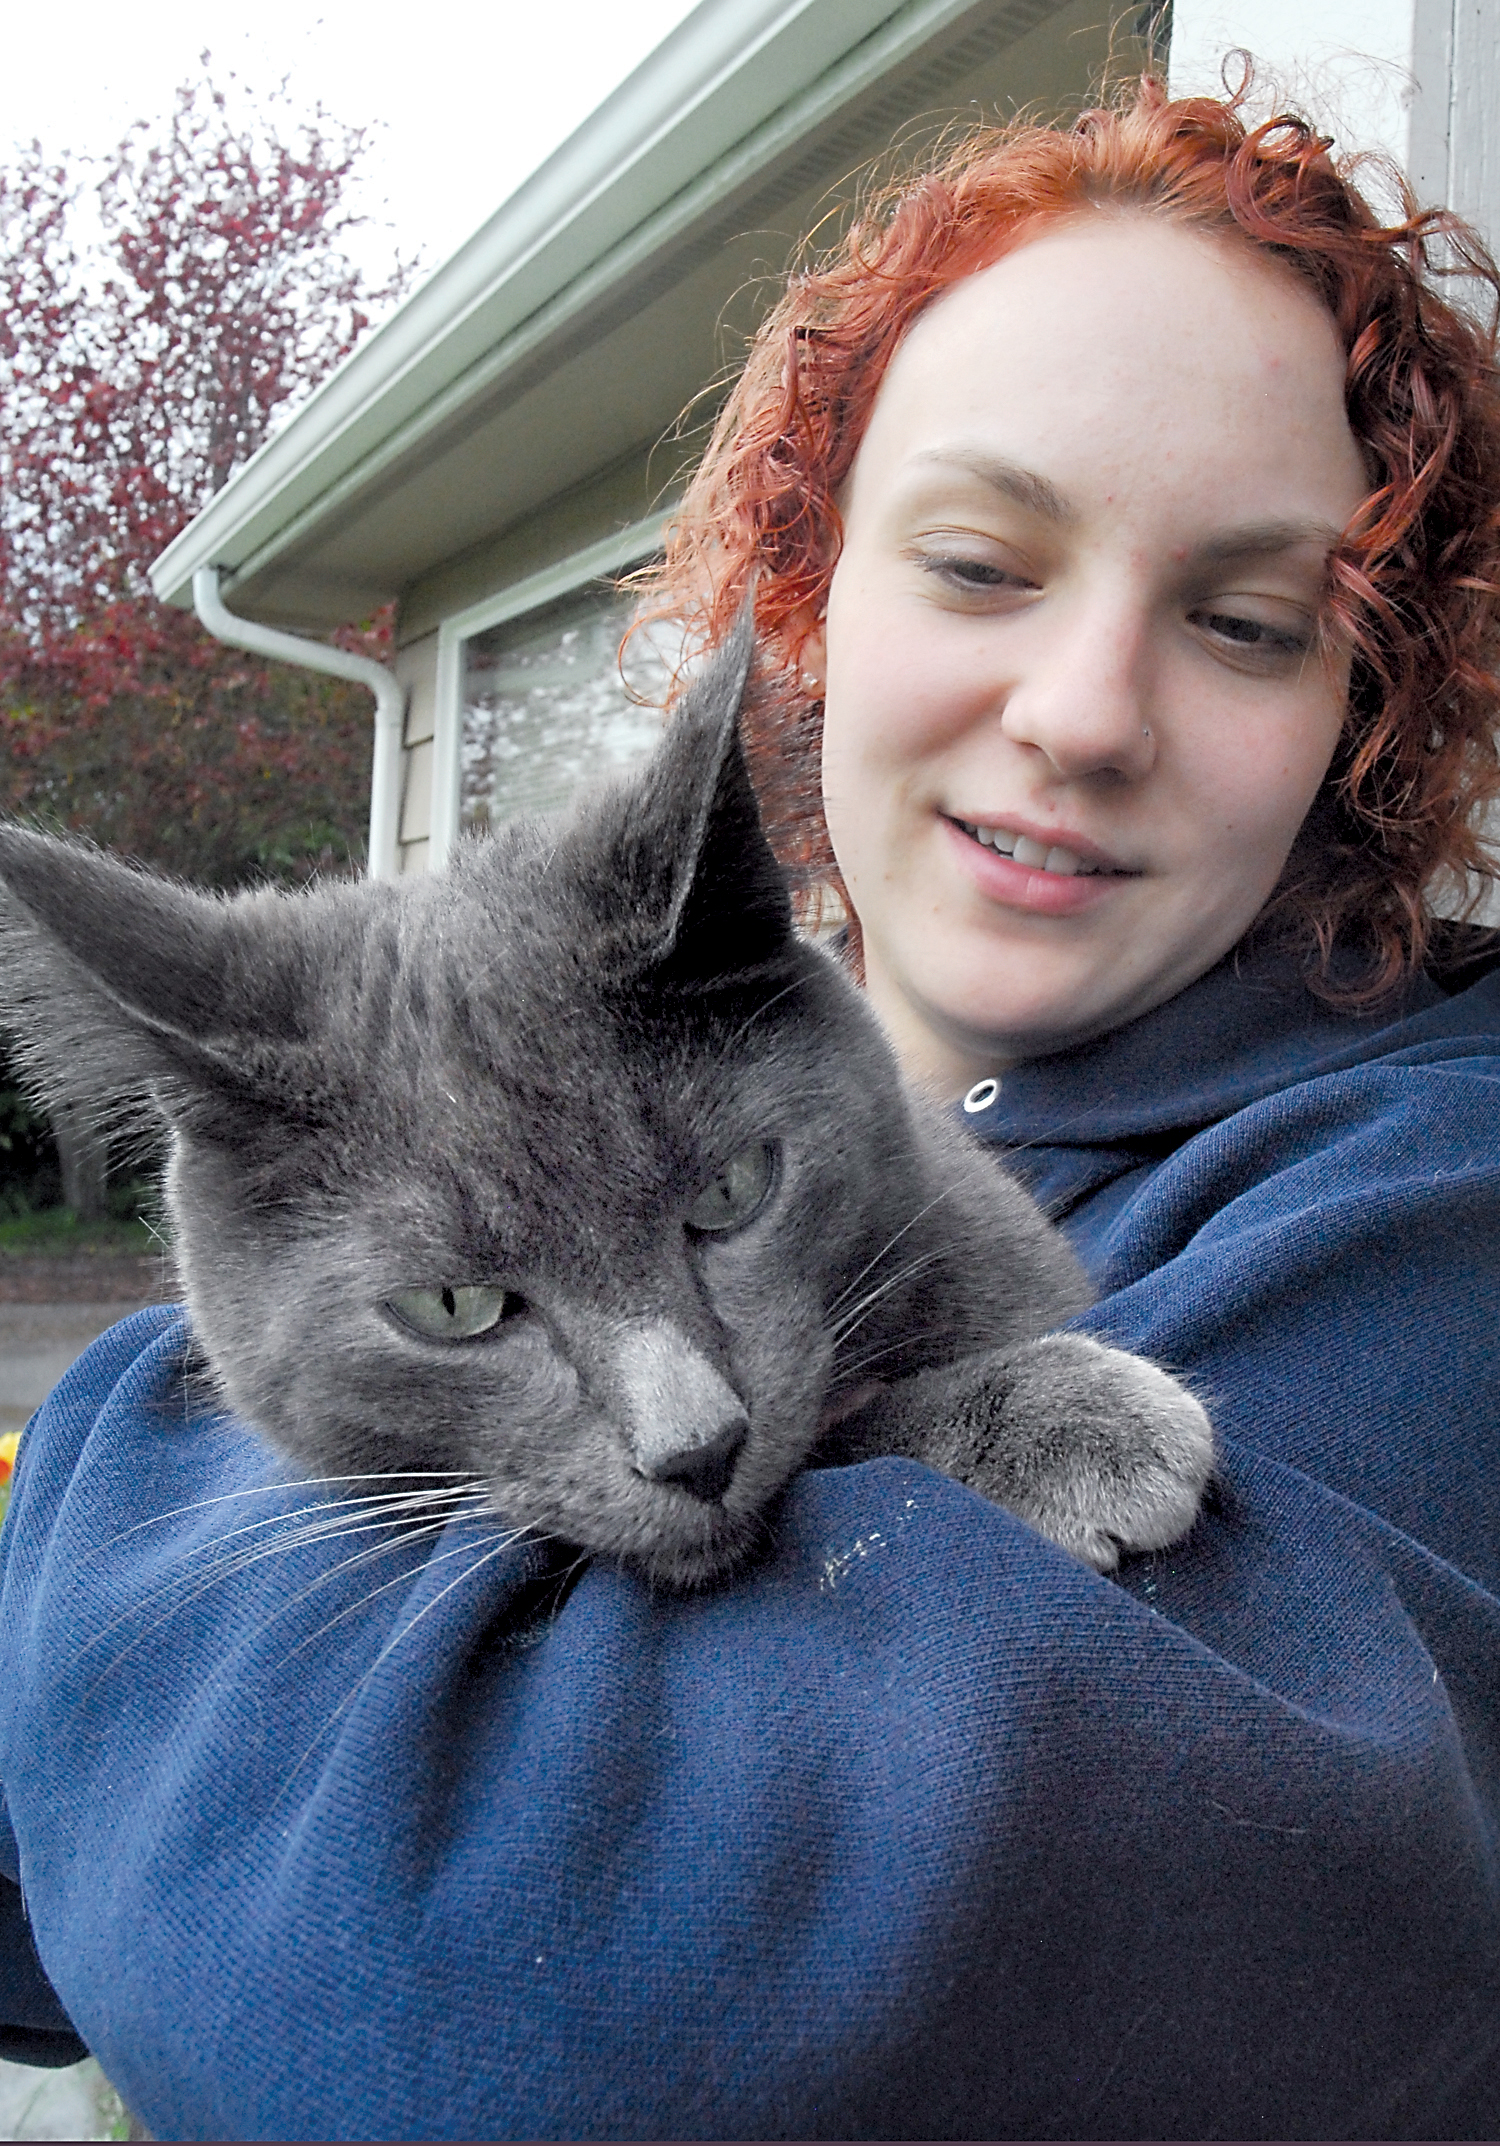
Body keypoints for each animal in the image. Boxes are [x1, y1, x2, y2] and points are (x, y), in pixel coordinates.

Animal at [0, 613, 1218, 1588]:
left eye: (732, 1192)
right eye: (453, 1307)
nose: (698, 1451)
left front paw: (1077, 1418)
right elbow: (849, 1424)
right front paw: (1076, 1422)